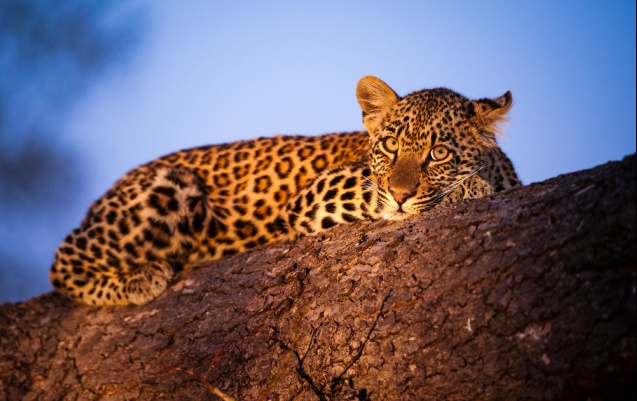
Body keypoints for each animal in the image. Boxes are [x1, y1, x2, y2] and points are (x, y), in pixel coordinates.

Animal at [48, 76, 516, 304]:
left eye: (438, 153)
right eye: (389, 146)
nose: (401, 193)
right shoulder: (320, 193)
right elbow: (379, 194)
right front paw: (467, 188)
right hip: (171, 186)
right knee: (61, 263)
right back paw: (141, 281)